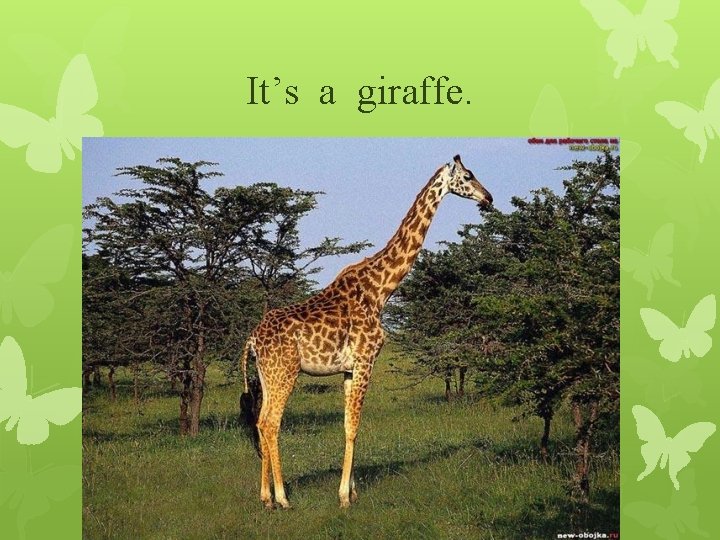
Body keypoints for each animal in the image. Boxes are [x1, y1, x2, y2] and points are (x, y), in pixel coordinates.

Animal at [240, 155, 493, 509]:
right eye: (468, 176)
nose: (489, 198)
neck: (380, 289)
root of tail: (251, 339)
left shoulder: (349, 368)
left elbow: (348, 425)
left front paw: (353, 490)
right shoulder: (366, 359)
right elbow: (355, 427)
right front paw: (344, 497)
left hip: (267, 375)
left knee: (261, 423)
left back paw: (265, 498)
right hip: (285, 371)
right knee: (270, 423)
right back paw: (282, 497)